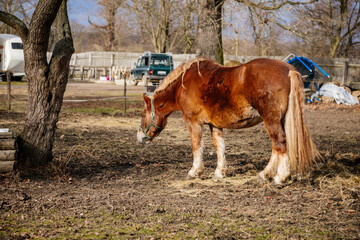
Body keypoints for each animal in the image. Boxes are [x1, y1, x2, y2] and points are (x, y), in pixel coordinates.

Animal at [138, 57, 320, 184]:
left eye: (142, 114)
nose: (139, 137)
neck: (183, 84)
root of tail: (289, 70)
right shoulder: (215, 125)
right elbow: (219, 147)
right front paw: (220, 172)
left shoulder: (193, 123)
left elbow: (196, 146)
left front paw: (195, 171)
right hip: (278, 120)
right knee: (277, 147)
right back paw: (265, 174)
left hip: (271, 120)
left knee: (279, 143)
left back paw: (280, 177)